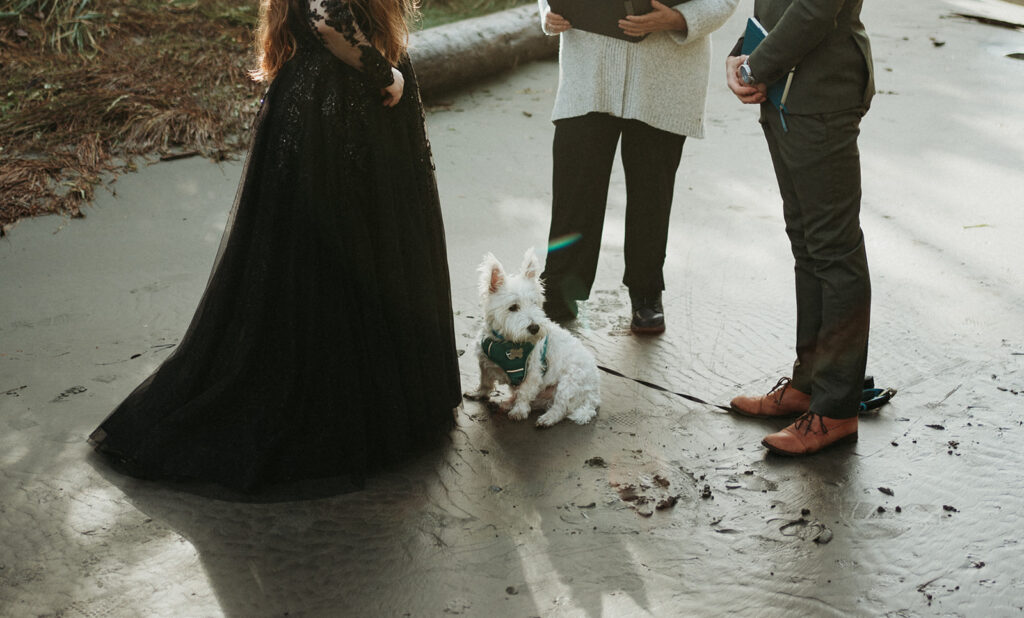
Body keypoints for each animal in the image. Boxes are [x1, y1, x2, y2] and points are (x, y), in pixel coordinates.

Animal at [464, 248, 598, 427]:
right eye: (513, 307)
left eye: (535, 303)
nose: (535, 328)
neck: (507, 342)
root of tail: (594, 395)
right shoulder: (485, 362)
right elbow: (484, 381)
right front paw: (478, 393)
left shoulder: (533, 371)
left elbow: (525, 392)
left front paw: (519, 411)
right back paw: (506, 403)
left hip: (569, 382)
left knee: (560, 407)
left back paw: (547, 419)